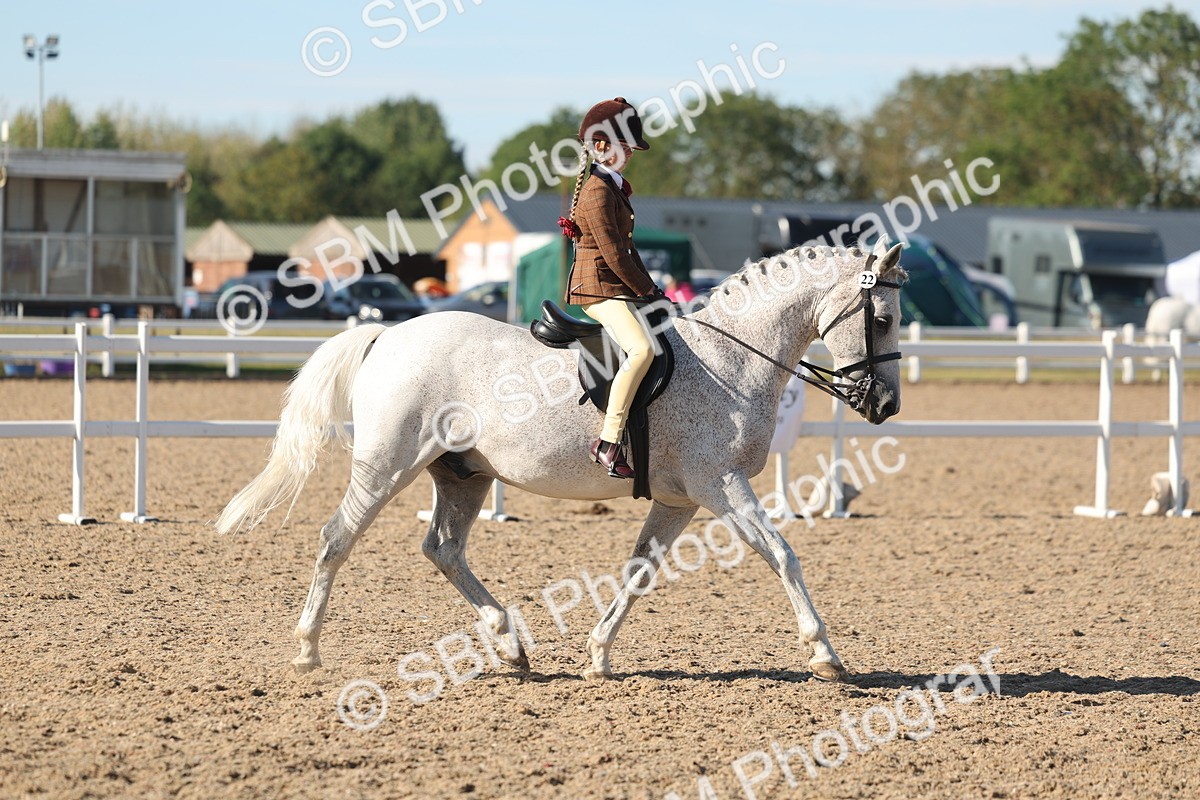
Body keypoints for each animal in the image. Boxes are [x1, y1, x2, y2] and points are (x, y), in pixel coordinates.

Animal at [216, 241, 906, 683]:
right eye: (882, 316)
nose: (886, 405)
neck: (731, 357)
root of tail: (387, 333)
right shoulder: (721, 484)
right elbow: (782, 554)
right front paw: (825, 654)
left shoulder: (679, 499)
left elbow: (639, 572)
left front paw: (599, 655)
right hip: (387, 466)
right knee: (337, 538)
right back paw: (308, 651)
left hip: (464, 475)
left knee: (442, 549)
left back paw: (509, 645)